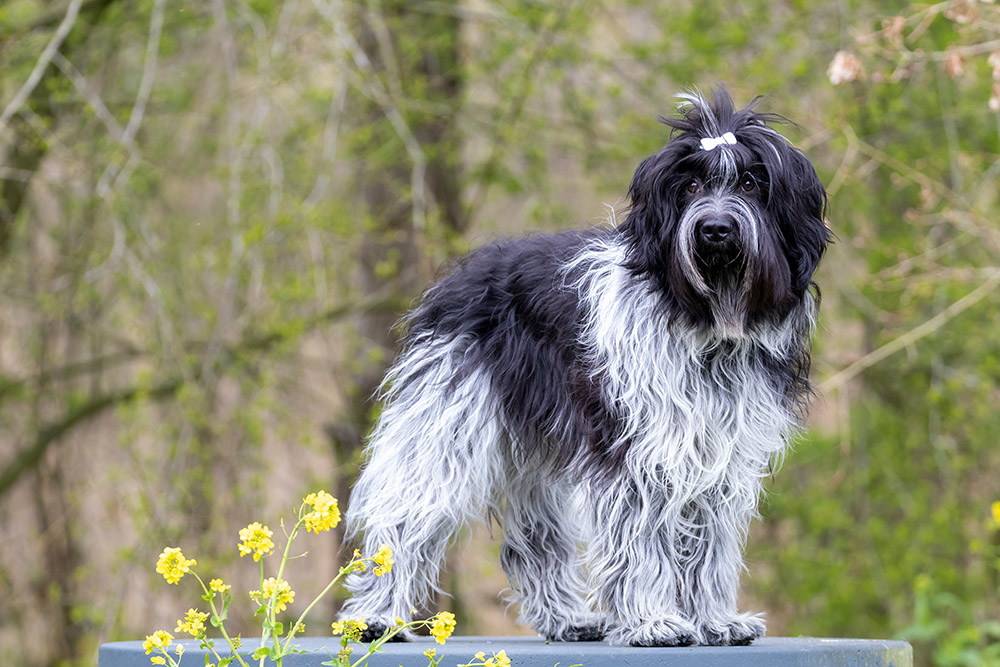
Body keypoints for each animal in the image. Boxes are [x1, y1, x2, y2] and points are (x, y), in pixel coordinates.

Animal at [340, 87, 832, 648]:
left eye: (751, 183)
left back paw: (566, 618)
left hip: (534, 449)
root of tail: (461, 275)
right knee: (406, 516)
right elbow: (640, 542)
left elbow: (709, 543)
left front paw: (713, 620)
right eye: (690, 186)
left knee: (534, 541)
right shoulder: (636, 453)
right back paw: (378, 616)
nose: (715, 230)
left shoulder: (716, 455)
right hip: (447, 424)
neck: (705, 327)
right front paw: (652, 621)